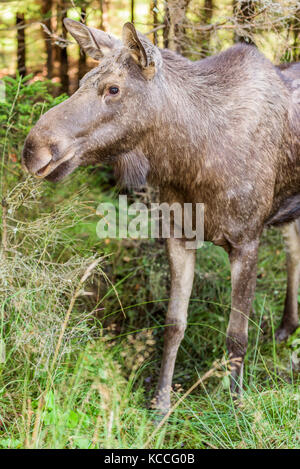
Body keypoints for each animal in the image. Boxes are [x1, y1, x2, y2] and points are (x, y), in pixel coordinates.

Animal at [22, 20, 300, 412]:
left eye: (113, 88)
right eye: (82, 80)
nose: (33, 148)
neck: (191, 162)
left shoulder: (246, 239)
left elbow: (236, 335)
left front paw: (234, 403)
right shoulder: (178, 234)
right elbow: (173, 324)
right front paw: (161, 404)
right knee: (293, 246)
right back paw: (287, 326)